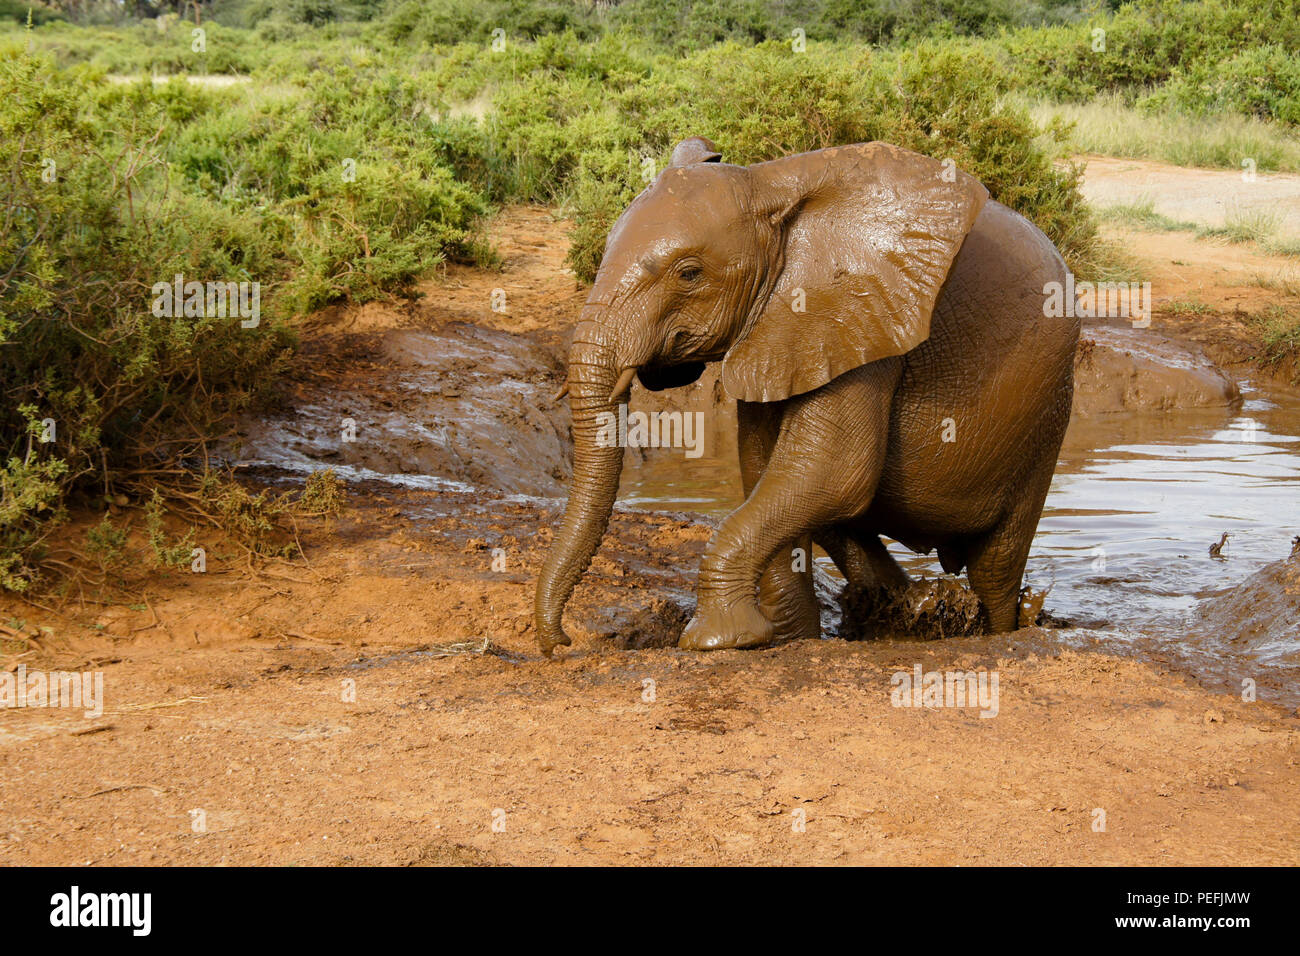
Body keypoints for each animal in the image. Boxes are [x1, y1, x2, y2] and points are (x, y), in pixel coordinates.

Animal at [530, 138, 1076, 655]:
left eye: (689, 273)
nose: (563, 643)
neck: (769, 186)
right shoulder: (781, 327)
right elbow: (767, 470)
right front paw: (785, 639)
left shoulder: (862, 317)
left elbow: (830, 470)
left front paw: (717, 640)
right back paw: (904, 609)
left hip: (1044, 415)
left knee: (995, 566)